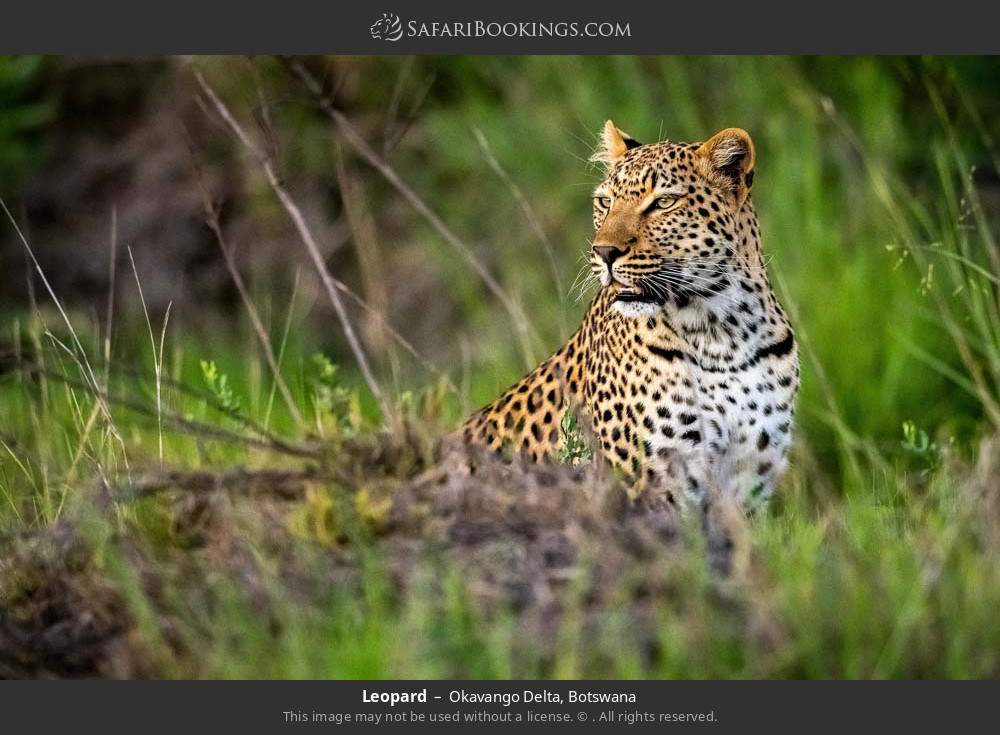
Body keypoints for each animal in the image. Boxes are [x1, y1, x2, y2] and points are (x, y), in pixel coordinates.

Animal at [464, 121, 800, 512]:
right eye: (605, 202)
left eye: (663, 203)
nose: (604, 252)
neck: (721, 330)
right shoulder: (652, 484)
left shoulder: (748, 481)